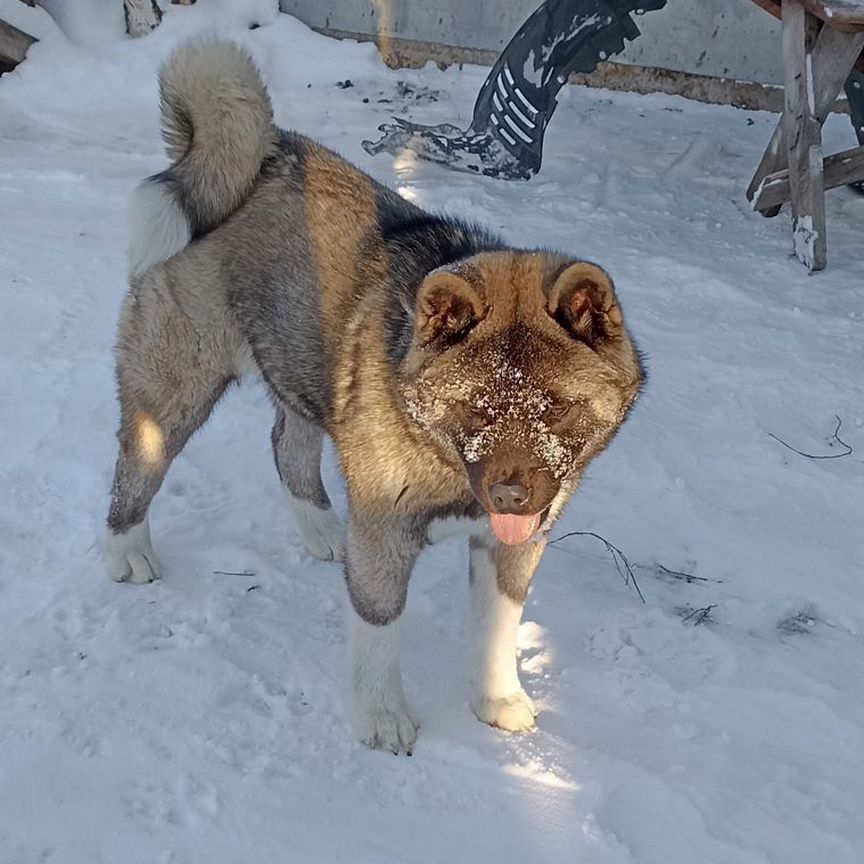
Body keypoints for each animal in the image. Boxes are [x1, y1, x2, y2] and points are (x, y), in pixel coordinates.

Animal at [104, 40, 644, 752]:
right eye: (473, 406)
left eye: (555, 406)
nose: (511, 494)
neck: (444, 458)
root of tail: (242, 152)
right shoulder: (387, 532)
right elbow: (381, 627)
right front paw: (382, 717)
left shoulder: (515, 543)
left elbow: (497, 627)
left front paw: (496, 699)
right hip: (178, 384)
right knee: (137, 462)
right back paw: (127, 552)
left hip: (306, 367)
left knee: (287, 448)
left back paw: (324, 531)